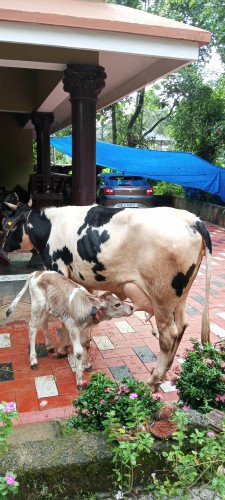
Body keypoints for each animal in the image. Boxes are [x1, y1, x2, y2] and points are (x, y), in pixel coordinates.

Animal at [1, 201, 212, 388]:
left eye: (8, 224)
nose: (3, 248)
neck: (50, 226)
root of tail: (192, 219)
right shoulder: (83, 280)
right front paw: (85, 346)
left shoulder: (57, 268)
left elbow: (63, 318)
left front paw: (62, 349)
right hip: (181, 295)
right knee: (182, 326)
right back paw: (165, 372)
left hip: (162, 296)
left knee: (168, 335)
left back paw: (153, 380)